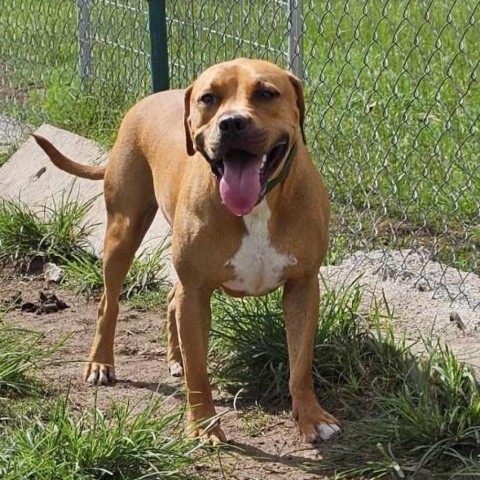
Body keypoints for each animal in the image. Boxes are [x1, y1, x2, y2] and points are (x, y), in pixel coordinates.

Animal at [33, 59, 340, 442]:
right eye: (209, 98)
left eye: (266, 93)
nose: (232, 122)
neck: (258, 205)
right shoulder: (196, 293)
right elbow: (199, 371)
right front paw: (204, 426)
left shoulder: (303, 286)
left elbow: (301, 362)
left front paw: (311, 418)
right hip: (123, 230)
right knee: (109, 302)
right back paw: (101, 363)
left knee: (169, 298)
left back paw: (173, 356)